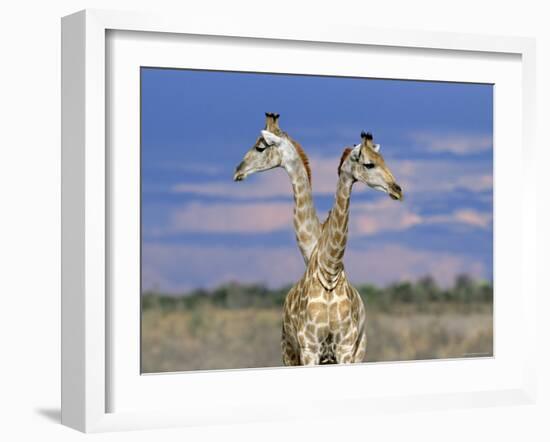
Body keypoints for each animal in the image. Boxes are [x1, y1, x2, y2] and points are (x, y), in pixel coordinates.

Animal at [282, 131, 404, 366]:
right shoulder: (309, 347)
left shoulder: (346, 347)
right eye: (369, 164)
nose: (397, 190)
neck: (330, 275)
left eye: (384, 160)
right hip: (289, 352)